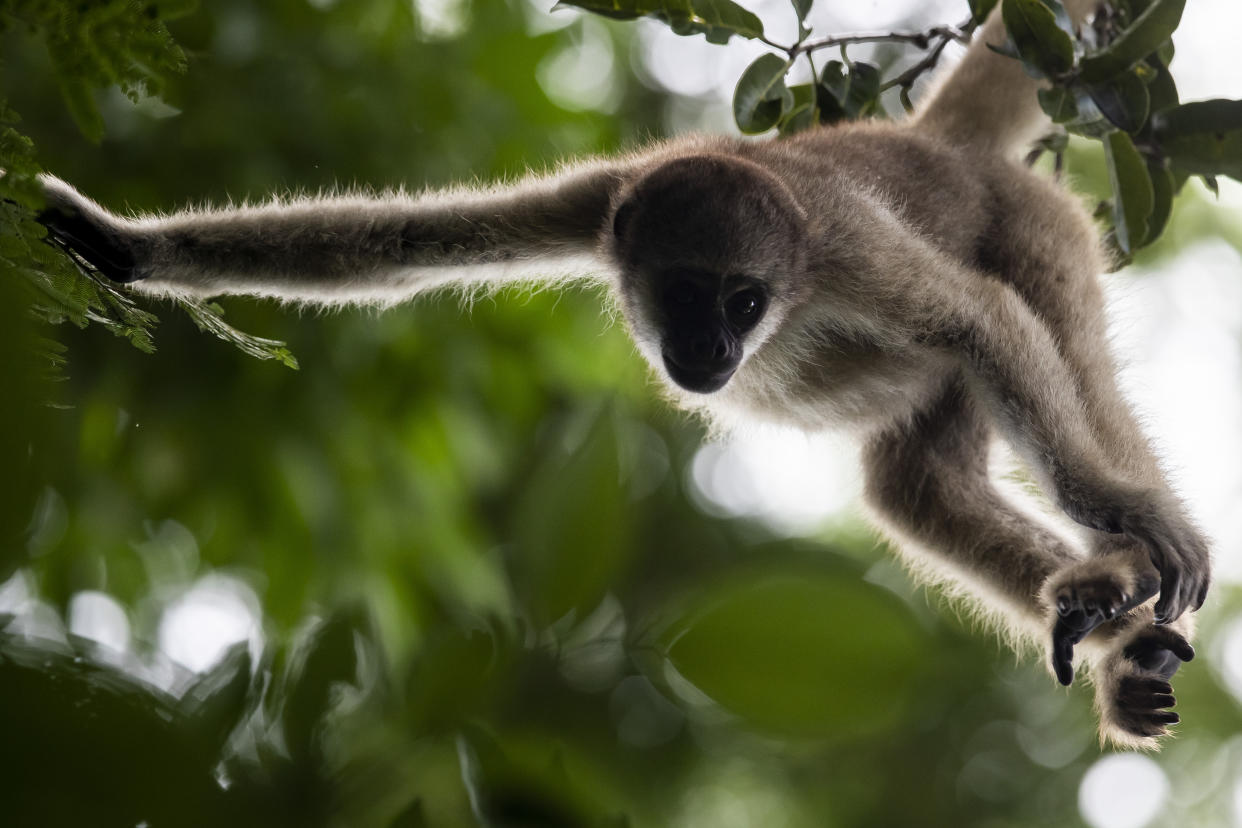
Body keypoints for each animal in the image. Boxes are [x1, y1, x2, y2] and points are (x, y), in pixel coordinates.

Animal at [33, 0, 1207, 749]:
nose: (711, 353)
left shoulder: (835, 246)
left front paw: (1139, 517)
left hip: (1039, 224)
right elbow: (391, 246)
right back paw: (1116, 639)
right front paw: (119, 246)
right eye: (684, 296)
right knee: (918, 490)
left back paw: (1118, 565)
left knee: (1049, 353)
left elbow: (981, 319)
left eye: (743, 302)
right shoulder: (606, 203)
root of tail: (941, 149)